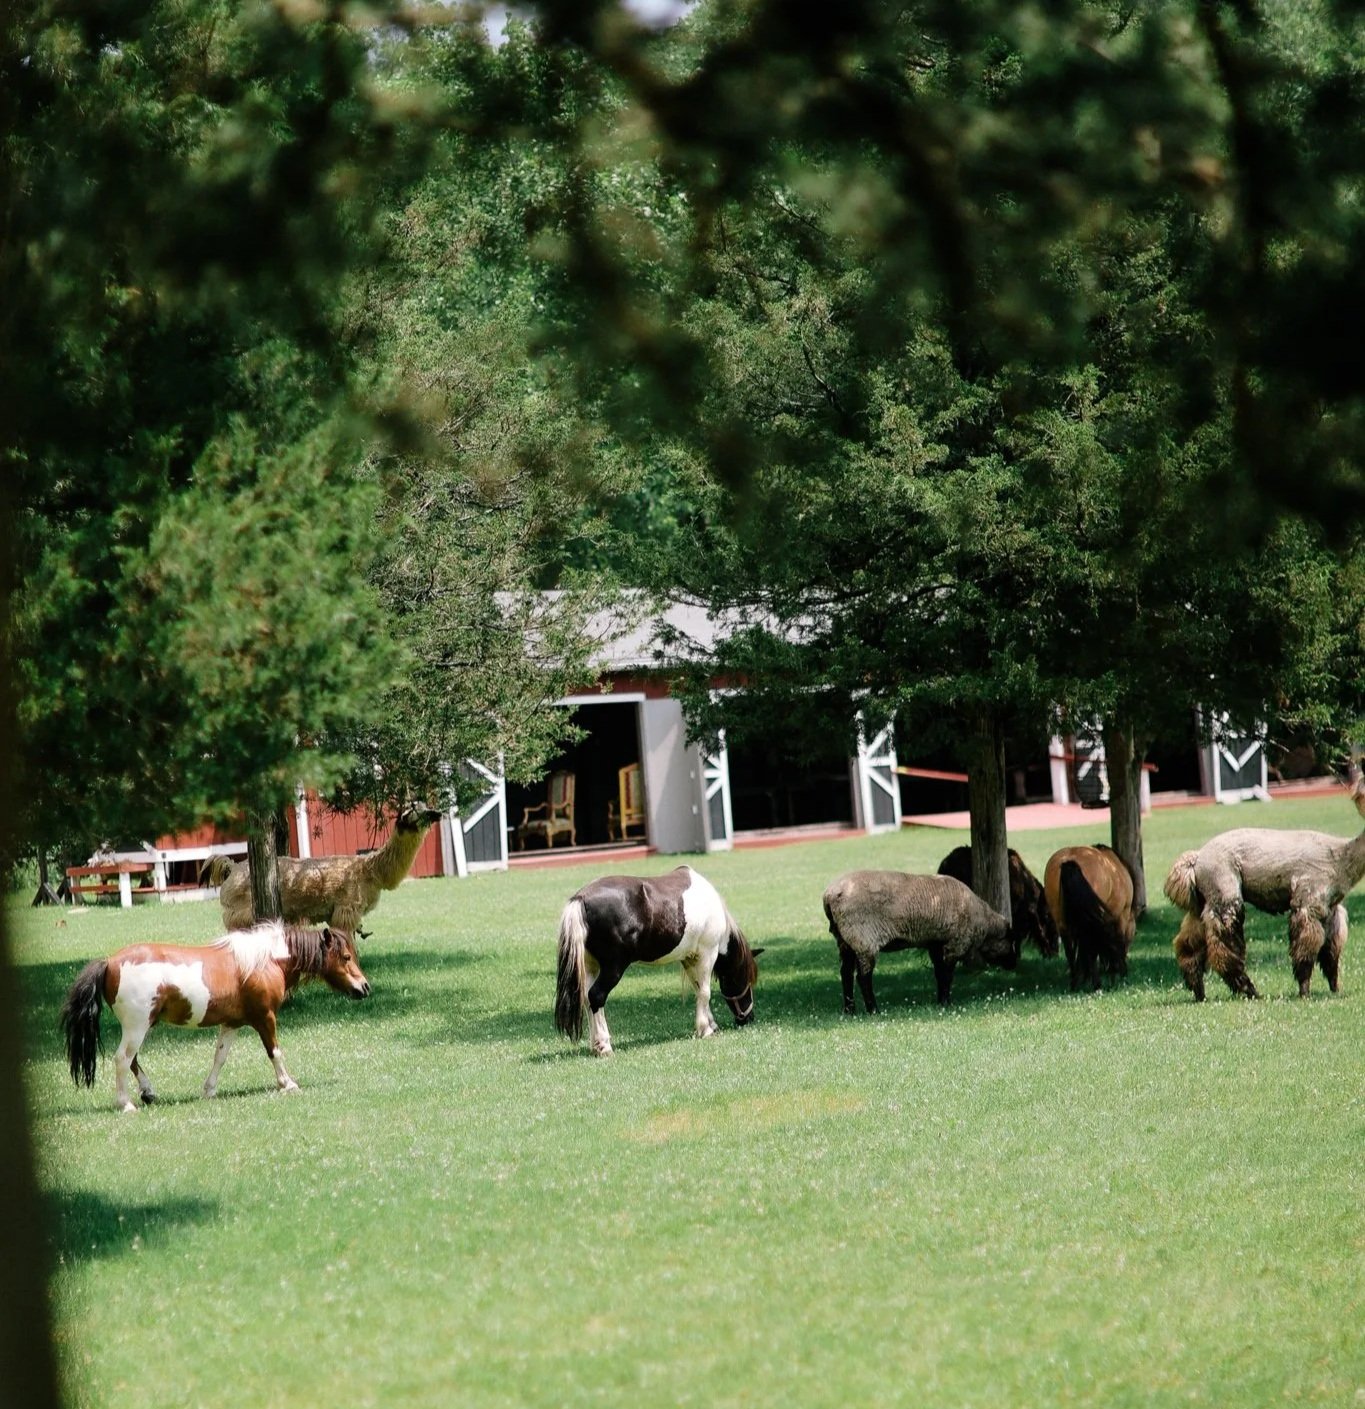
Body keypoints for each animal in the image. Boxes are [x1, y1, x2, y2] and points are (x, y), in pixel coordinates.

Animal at [59, 920, 370, 1112]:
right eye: (345, 957)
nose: (364, 987)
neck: (264, 960)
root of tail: (110, 962)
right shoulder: (265, 1018)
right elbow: (275, 1052)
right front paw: (288, 1083)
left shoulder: (231, 1023)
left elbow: (219, 1057)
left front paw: (209, 1090)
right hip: (137, 1027)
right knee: (122, 1059)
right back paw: (125, 1104)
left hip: (140, 1027)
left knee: (132, 1060)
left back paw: (148, 1092)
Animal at [213, 803, 443, 935]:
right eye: (415, 814)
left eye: (427, 807)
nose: (438, 813)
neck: (371, 871)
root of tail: (232, 867)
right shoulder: (346, 910)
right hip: (240, 915)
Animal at [554, 865, 761, 1056]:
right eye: (746, 980)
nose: (748, 1018)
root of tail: (581, 899)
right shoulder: (706, 953)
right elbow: (705, 993)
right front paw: (705, 1029)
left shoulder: (689, 958)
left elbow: (698, 990)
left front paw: (711, 1024)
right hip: (613, 968)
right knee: (596, 996)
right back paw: (604, 1046)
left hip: (590, 967)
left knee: (587, 998)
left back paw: (595, 1045)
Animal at [823, 870, 1018, 1012]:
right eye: (1011, 940)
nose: (1014, 964)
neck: (984, 922)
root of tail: (830, 895)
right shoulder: (956, 943)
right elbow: (948, 975)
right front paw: (947, 1002)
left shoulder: (935, 944)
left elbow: (939, 973)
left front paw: (940, 1001)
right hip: (863, 938)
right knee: (863, 977)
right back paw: (874, 1010)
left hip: (845, 939)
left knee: (845, 974)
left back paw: (850, 1010)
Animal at [1043, 845, 1137, 991]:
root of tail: (1069, 860)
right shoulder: (1121, 915)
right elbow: (1116, 941)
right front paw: (1120, 972)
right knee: (1090, 948)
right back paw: (1095, 983)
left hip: (1062, 922)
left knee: (1070, 950)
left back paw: (1075, 982)